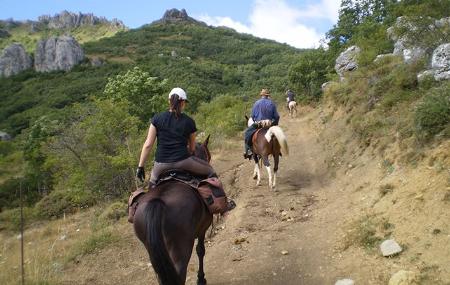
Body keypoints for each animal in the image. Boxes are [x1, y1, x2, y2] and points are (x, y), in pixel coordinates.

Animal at [133, 136, 214, 282]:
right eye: (208, 155)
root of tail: (157, 202)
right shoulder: (202, 228)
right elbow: (201, 250)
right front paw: (201, 279)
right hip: (181, 247)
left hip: (152, 250)